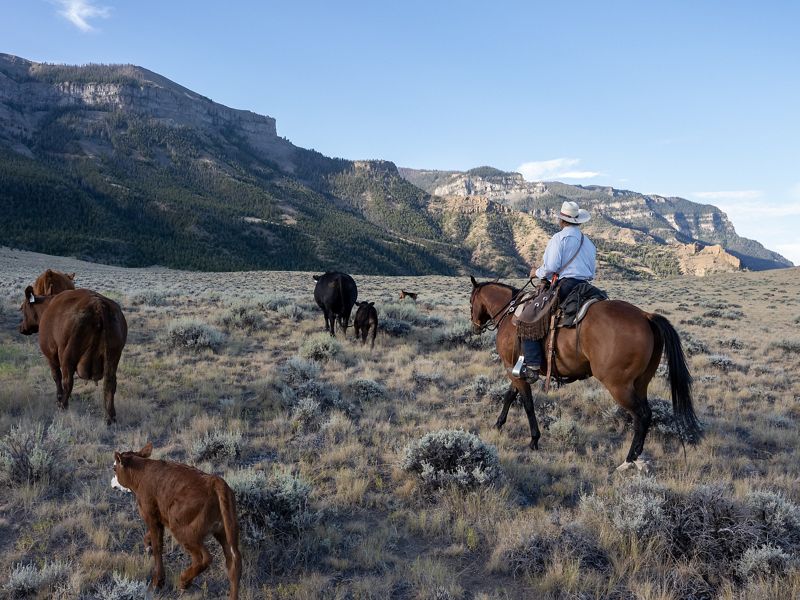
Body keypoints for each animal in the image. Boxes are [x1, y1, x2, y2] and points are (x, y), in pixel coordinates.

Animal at [18, 286, 127, 425]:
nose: (21, 328)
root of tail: (98, 305)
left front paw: (58, 398)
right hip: (113, 357)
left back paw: (63, 406)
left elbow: (56, 376)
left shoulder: (51, 355)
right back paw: (110, 416)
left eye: (23, 308)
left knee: (68, 382)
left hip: (68, 356)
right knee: (110, 384)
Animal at [112, 443, 241, 599]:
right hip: (224, 530)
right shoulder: (160, 517)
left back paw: (183, 581)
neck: (141, 474)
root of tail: (215, 481)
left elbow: (158, 546)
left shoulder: (150, 515)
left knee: (203, 557)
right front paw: (148, 545)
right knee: (234, 561)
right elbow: (150, 538)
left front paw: (157, 582)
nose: (112, 482)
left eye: (114, 468)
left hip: (182, 529)